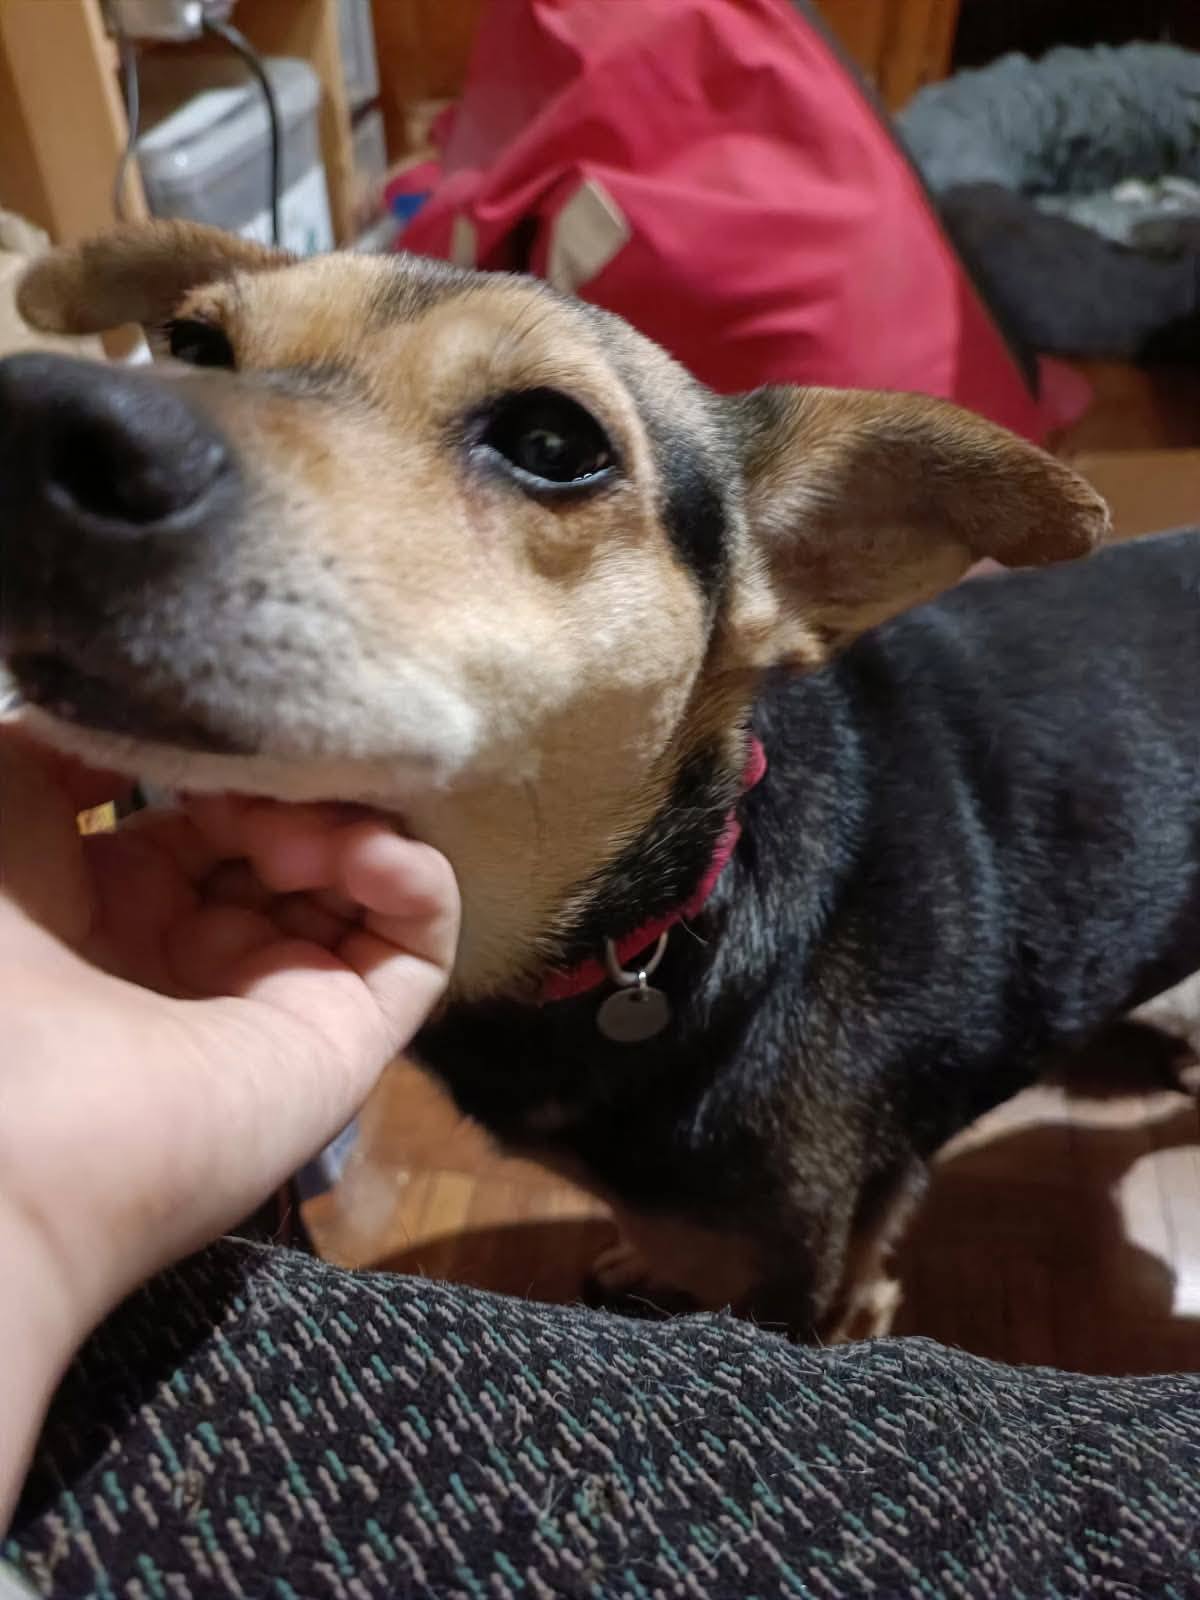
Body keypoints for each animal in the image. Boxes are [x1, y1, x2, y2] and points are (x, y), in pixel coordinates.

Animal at [9, 221, 1195, 1343]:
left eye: (551, 442)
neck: (674, 908)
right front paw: (643, 1266)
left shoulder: (814, 1279)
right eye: (192, 345)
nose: (34, 416)